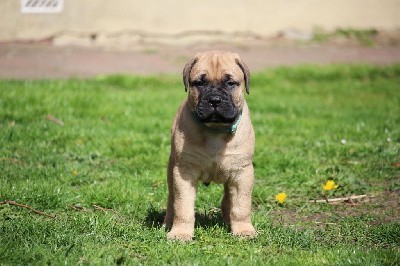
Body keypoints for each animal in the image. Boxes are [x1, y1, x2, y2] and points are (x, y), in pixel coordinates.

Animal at [163, 50, 255, 241]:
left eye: (230, 83)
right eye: (200, 83)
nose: (214, 100)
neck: (215, 130)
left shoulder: (242, 172)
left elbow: (241, 205)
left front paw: (243, 230)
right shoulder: (184, 172)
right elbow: (183, 206)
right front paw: (181, 233)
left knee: (228, 199)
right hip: (171, 170)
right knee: (172, 199)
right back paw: (168, 224)